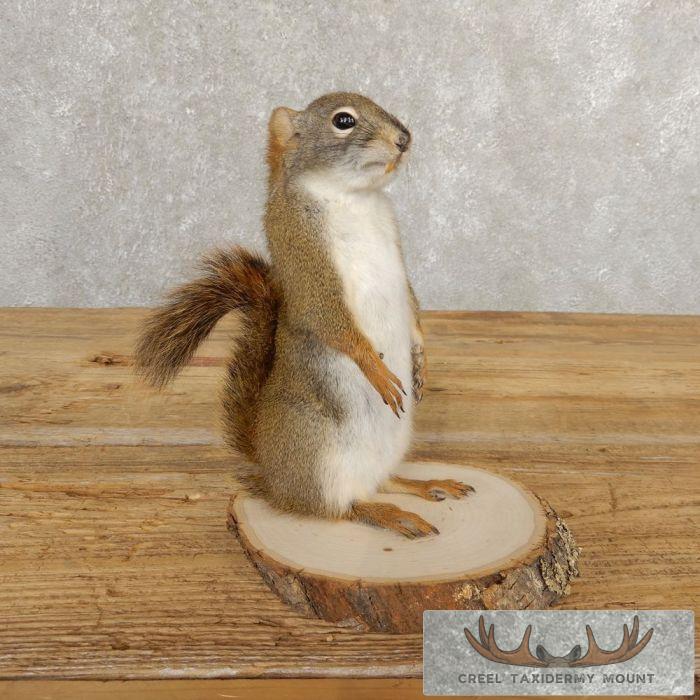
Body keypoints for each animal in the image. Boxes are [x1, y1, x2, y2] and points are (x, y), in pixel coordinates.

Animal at [135, 92, 473, 538]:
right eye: (343, 121)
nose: (404, 139)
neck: (353, 197)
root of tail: (272, 476)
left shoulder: (398, 254)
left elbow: (414, 307)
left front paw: (422, 360)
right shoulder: (305, 256)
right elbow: (330, 318)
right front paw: (375, 367)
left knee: (382, 482)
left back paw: (427, 484)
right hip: (317, 455)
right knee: (341, 508)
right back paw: (390, 514)